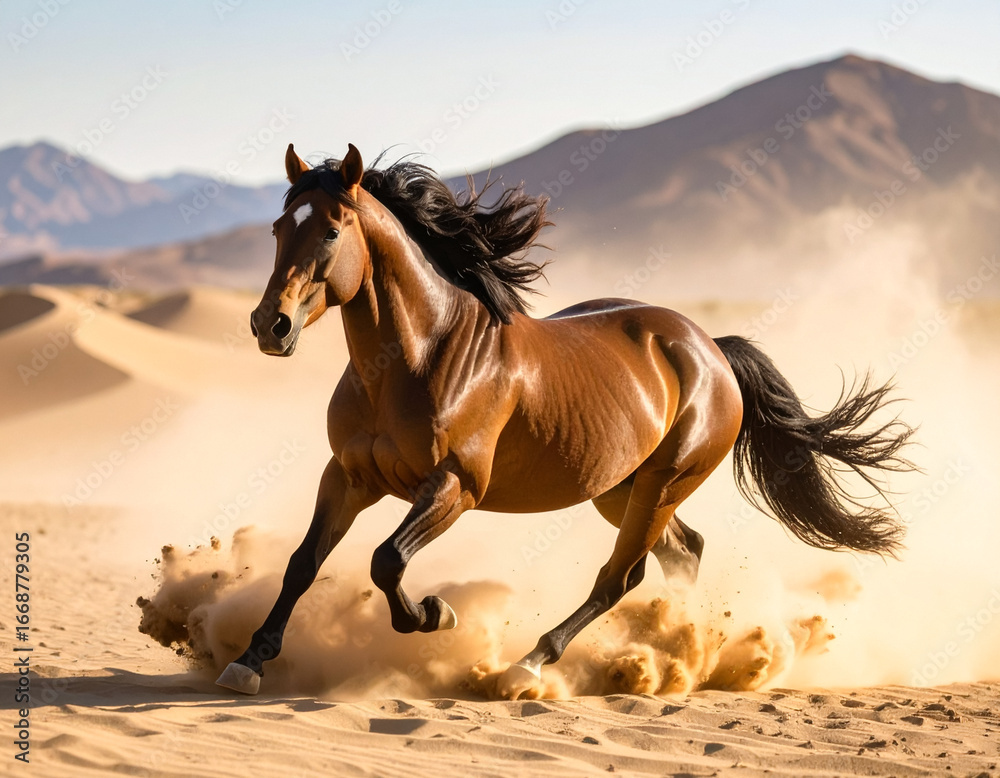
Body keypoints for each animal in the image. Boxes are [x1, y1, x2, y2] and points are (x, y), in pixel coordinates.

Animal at [215, 143, 914, 697]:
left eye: (332, 231)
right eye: (278, 228)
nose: (271, 326)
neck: (415, 360)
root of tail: (711, 350)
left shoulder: (454, 488)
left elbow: (386, 561)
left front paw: (437, 615)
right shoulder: (349, 477)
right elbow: (303, 563)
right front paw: (248, 662)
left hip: (661, 484)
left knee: (620, 576)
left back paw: (528, 666)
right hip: (619, 490)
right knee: (681, 553)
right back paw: (680, 651)